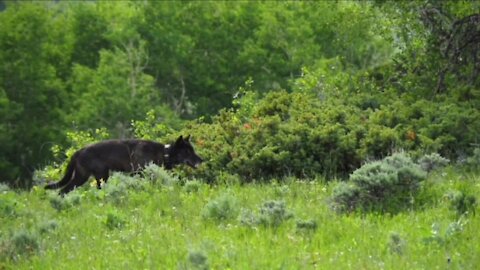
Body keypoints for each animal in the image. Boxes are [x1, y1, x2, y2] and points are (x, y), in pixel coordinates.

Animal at [45, 135, 202, 194]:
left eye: (192, 150)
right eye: (187, 152)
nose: (202, 160)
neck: (164, 152)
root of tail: (78, 152)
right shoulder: (138, 174)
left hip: (92, 177)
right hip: (89, 177)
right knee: (62, 191)